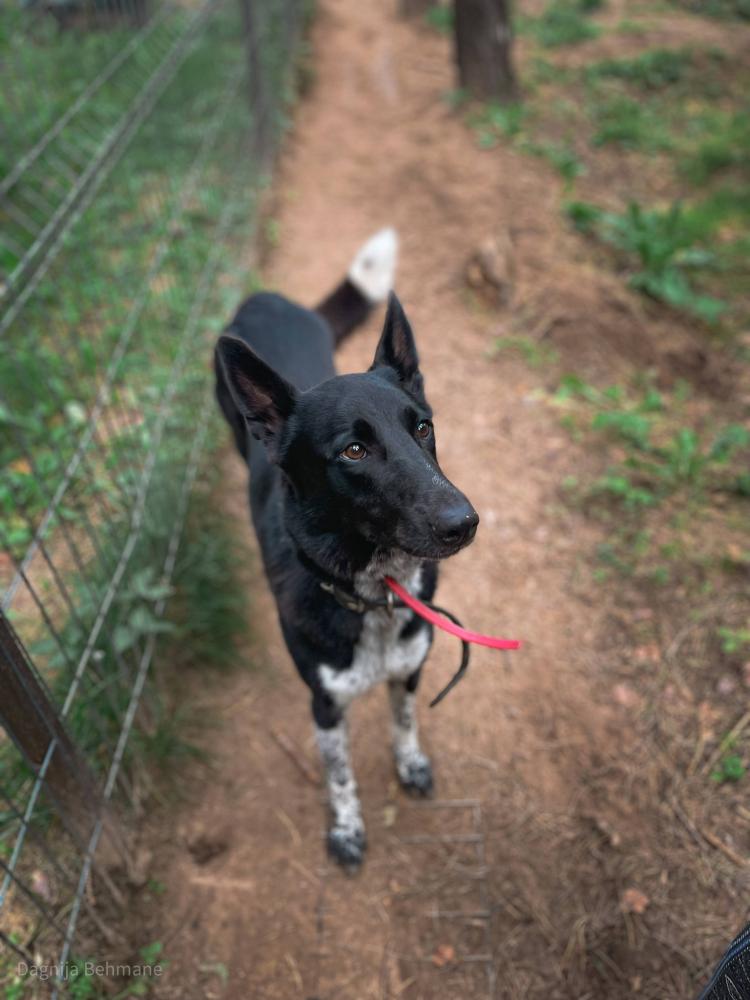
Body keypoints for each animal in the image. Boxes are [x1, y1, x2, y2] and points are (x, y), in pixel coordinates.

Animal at [214, 229, 479, 868]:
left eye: (423, 428)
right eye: (354, 451)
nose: (464, 523)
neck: (375, 592)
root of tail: (267, 298)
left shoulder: (410, 670)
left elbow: (404, 721)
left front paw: (410, 764)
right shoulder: (325, 705)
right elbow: (340, 774)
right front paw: (347, 829)